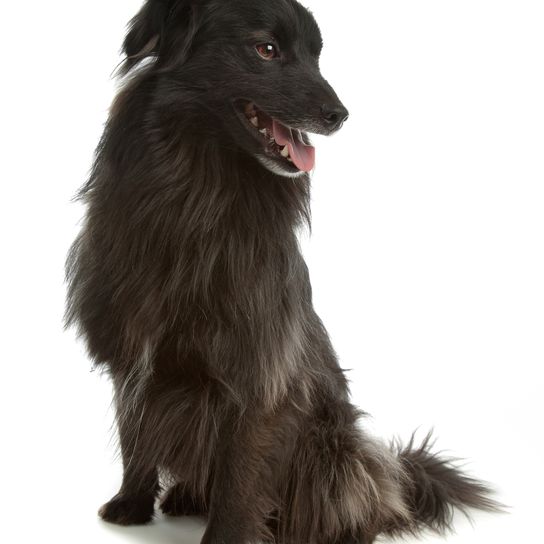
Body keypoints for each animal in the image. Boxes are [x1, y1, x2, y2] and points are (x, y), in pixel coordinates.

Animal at [66, 1, 500, 544]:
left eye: (316, 55)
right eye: (266, 49)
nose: (340, 115)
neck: (197, 195)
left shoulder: (260, 370)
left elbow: (240, 474)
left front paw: (226, 536)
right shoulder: (132, 350)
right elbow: (135, 430)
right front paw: (131, 503)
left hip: (332, 451)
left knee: (361, 498)